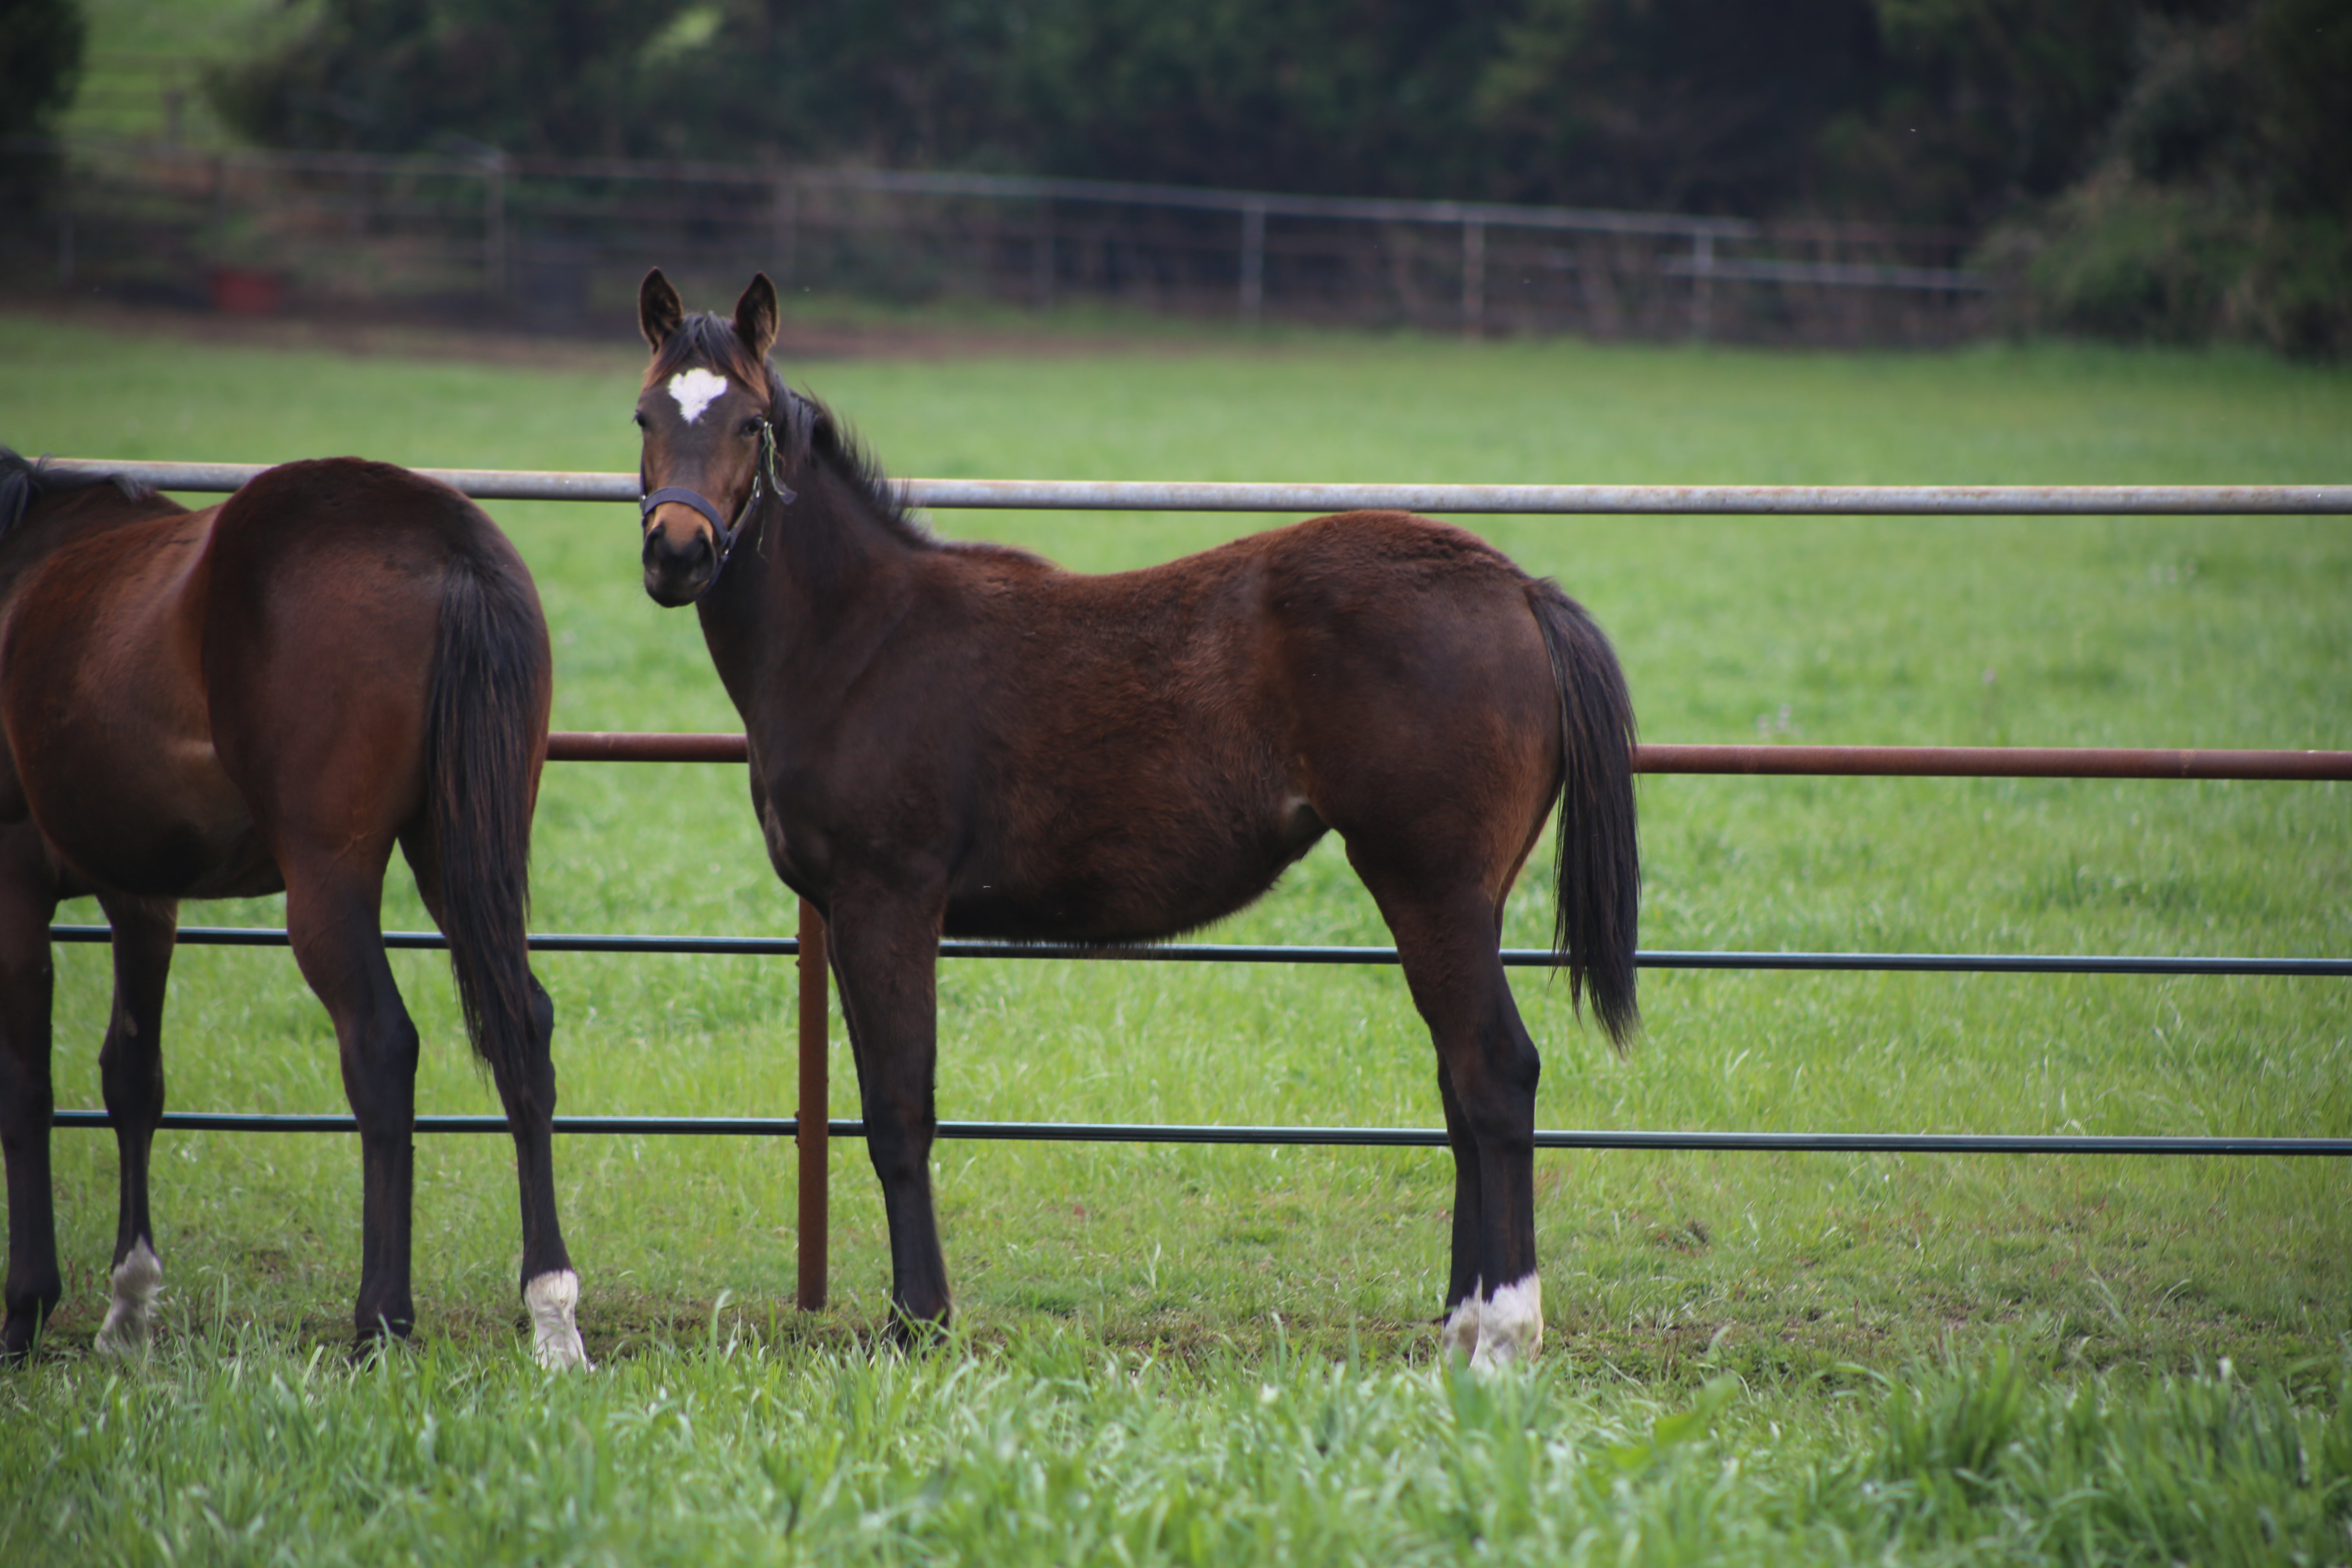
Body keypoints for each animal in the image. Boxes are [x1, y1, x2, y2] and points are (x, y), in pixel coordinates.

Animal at [0, 446, 586, 1363]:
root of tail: (445, 538)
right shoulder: (143, 896)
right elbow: (132, 1075)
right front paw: (128, 1308)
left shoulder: (17, 878)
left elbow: (26, 1087)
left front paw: (28, 1308)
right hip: (459, 852)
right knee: (523, 1028)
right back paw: (552, 1311)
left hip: (328, 882)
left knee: (381, 1045)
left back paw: (381, 1317)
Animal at [635, 276, 1646, 1363]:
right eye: (645, 416)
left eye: (748, 422)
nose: (676, 554)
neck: (861, 638)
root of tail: (1520, 591)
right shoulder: (847, 914)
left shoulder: (887, 902)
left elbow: (900, 1110)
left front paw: (922, 1321)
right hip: (1463, 900)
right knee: (1460, 1084)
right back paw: (1460, 1321)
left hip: (1431, 887)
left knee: (1494, 1073)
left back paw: (1503, 1329)